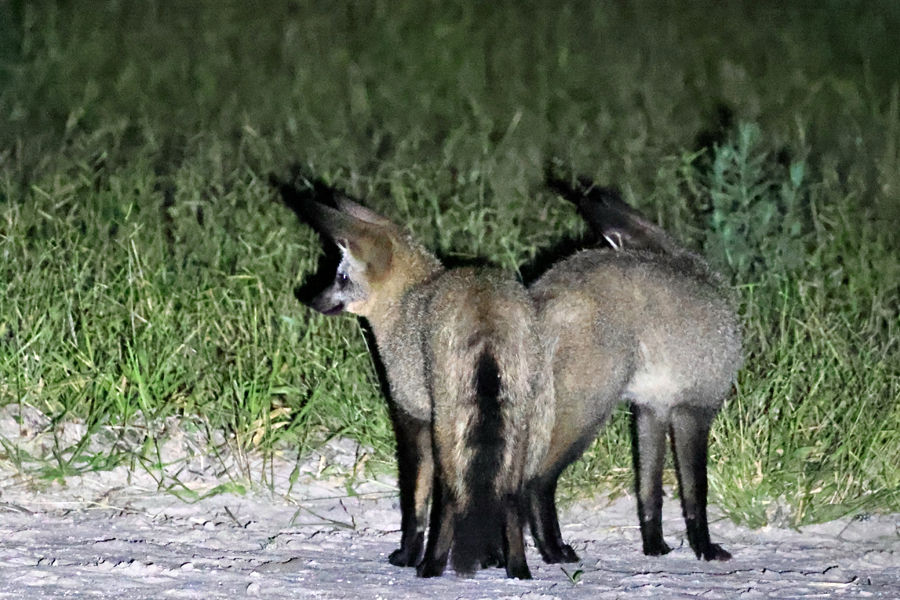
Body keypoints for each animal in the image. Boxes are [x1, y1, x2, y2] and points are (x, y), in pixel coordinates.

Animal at [275, 184, 552, 579]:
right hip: (517, 424)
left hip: (449, 425)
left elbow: (417, 500)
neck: (408, 299)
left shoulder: (411, 415)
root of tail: (486, 304)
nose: (309, 298)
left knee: (452, 494)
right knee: (510, 494)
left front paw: (409, 555)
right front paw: (493, 557)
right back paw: (518, 568)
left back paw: (432, 565)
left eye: (341, 278)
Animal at [524, 175, 742, 563]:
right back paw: (553, 551)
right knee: (538, 478)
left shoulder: (651, 410)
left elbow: (649, 490)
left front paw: (654, 546)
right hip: (586, 411)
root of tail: (542, 294)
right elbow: (695, 493)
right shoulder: (694, 409)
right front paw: (703, 548)